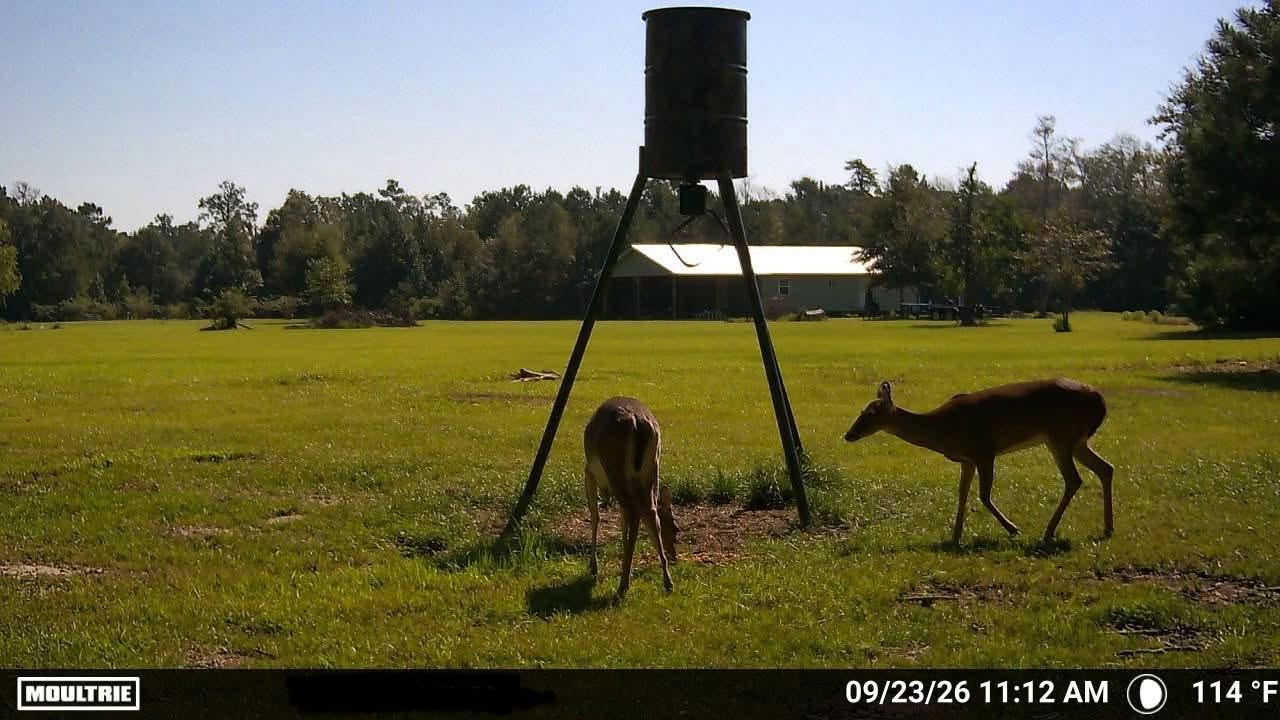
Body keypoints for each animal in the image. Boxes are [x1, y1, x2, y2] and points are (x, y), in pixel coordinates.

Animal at [584, 396, 677, 599]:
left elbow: (596, 517)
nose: (675, 555)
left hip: (614, 468)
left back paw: (623, 585)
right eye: (676, 528)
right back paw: (667, 582)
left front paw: (593, 567)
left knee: (634, 511)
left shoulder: (589, 472)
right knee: (649, 513)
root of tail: (637, 421)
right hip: (652, 467)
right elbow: (623, 522)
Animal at [843, 378, 1114, 544]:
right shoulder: (967, 459)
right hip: (1075, 440)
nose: (848, 434)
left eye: (871, 413)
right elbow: (962, 493)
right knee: (1106, 468)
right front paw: (955, 536)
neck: (944, 430)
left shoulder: (984, 450)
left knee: (1074, 479)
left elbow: (983, 495)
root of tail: (1099, 400)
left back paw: (1048, 532)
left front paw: (1012, 528)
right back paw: (1107, 528)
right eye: (861, 411)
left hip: (1061, 435)